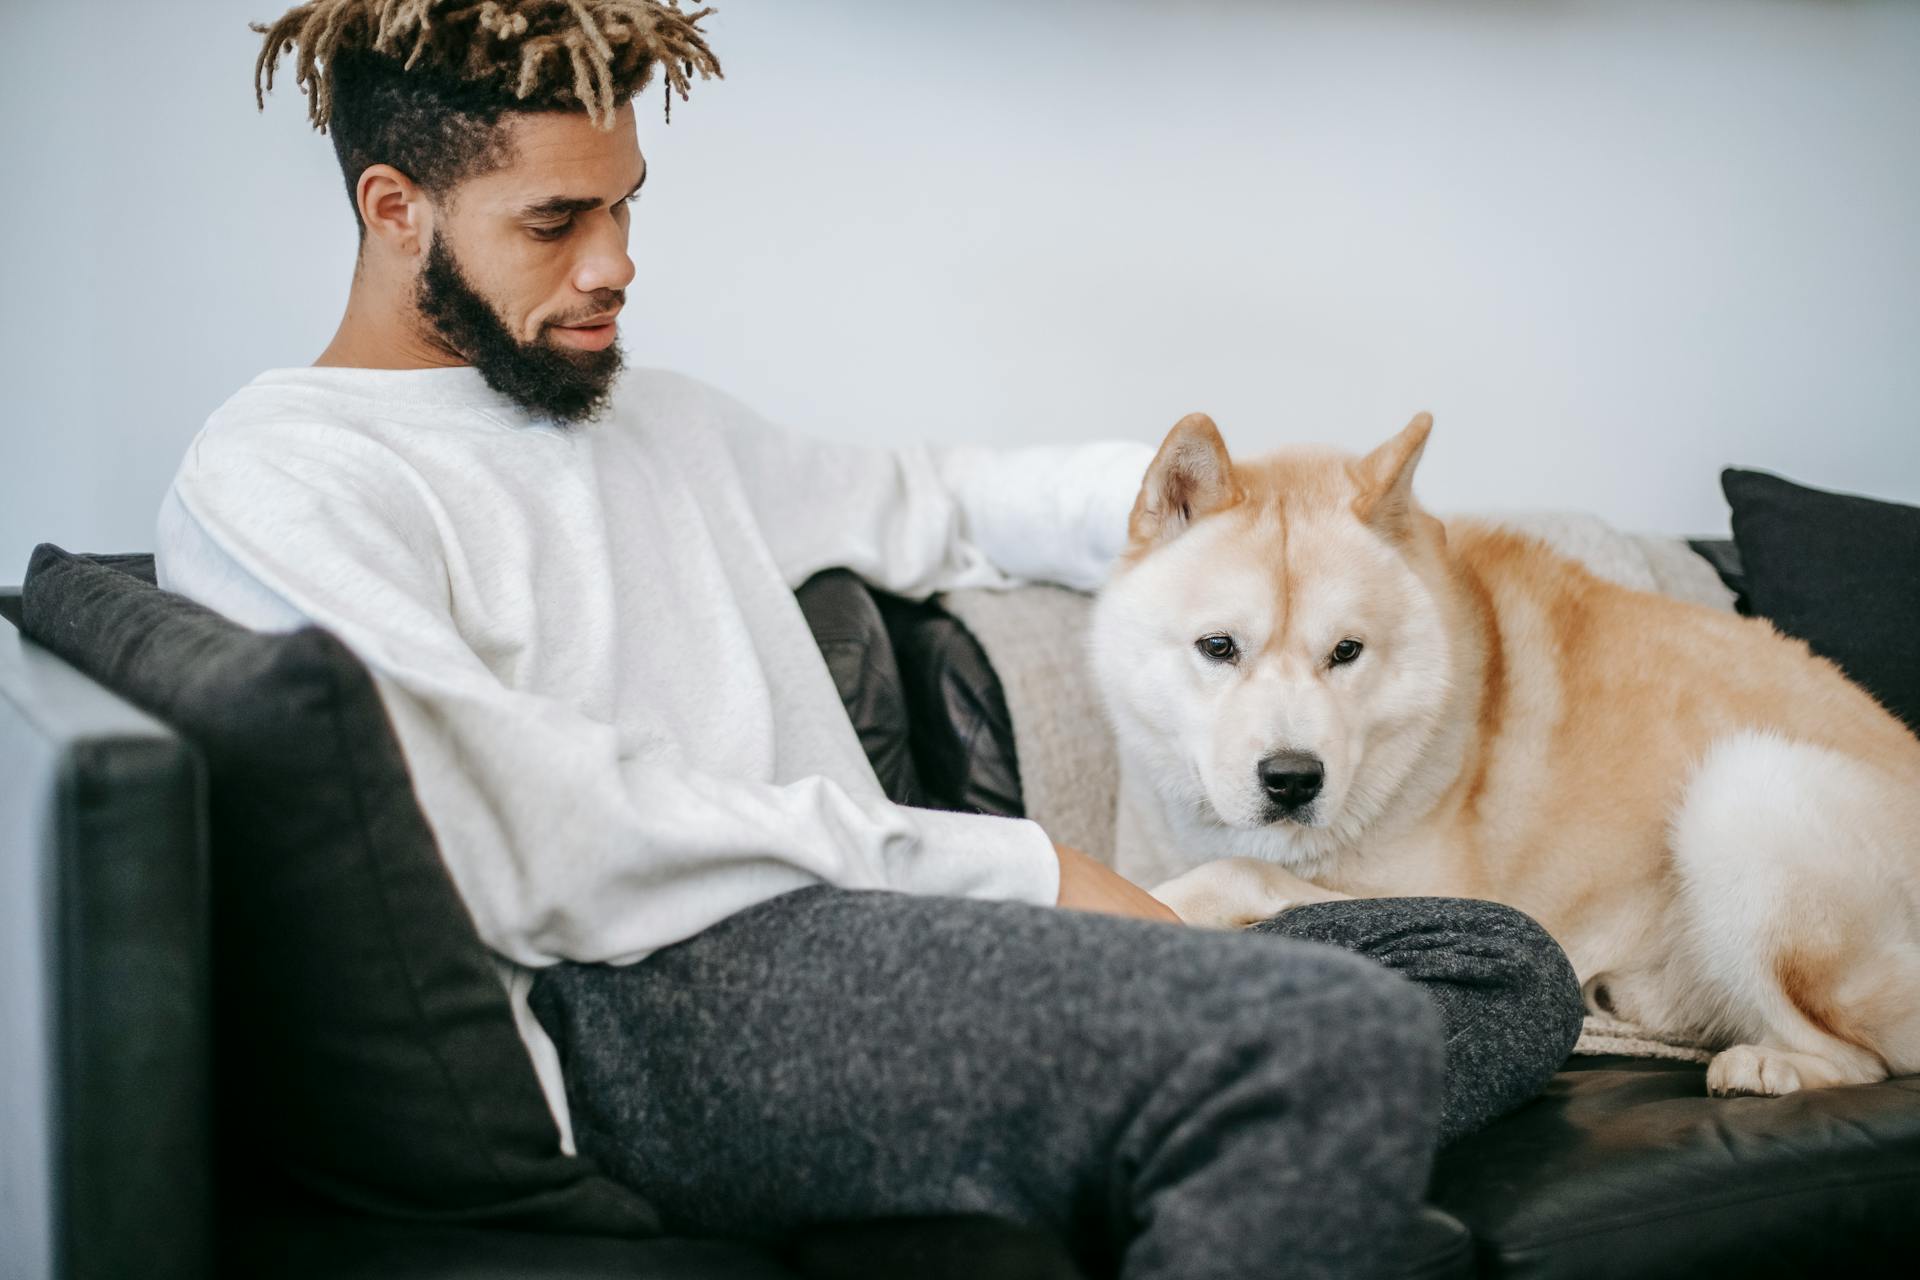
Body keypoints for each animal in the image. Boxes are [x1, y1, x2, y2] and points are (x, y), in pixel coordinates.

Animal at [1090, 416, 1920, 1097]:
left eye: (1346, 652)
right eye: (1218, 647)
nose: (1294, 780)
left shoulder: (1453, 893)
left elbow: (1235, 871)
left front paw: (1165, 902)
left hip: (1744, 792)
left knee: (1868, 1059)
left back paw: (1768, 1066)